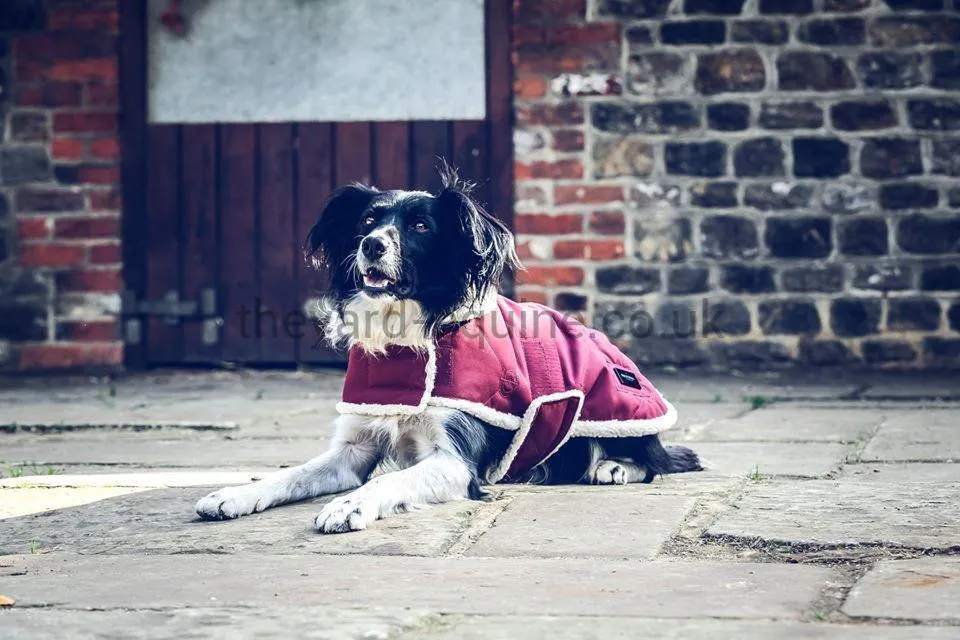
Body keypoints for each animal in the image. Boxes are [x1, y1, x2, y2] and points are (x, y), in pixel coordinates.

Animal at [197, 168, 704, 532]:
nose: (371, 245)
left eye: (421, 226)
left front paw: (348, 506)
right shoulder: (353, 449)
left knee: (656, 461)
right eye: (367, 221)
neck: (406, 338)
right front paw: (232, 494)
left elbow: (392, 479)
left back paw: (615, 467)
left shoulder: (454, 459)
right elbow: (293, 473)